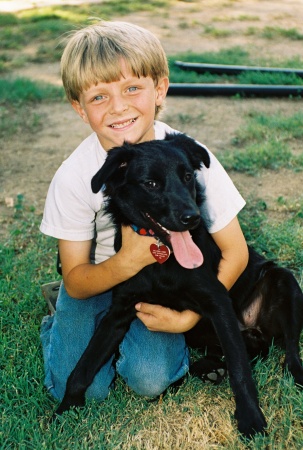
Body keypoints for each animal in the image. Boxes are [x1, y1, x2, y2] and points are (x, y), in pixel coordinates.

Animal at [55, 133, 303, 436]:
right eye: (150, 183)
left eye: (187, 176)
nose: (192, 217)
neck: (162, 255)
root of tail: (253, 330)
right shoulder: (119, 312)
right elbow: (83, 366)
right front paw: (65, 411)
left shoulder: (217, 302)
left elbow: (240, 370)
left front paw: (251, 418)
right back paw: (207, 368)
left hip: (284, 282)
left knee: (288, 350)